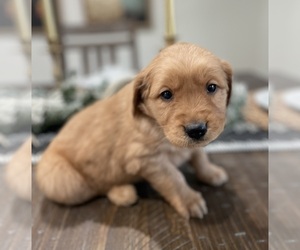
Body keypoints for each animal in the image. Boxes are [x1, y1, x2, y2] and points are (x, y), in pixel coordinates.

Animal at [35, 43, 232, 219]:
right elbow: (174, 178)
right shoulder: (145, 159)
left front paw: (210, 172)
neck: (157, 126)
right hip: (66, 182)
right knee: (97, 186)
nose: (196, 130)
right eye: (166, 94)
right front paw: (189, 200)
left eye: (211, 87)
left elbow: (199, 156)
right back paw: (122, 192)